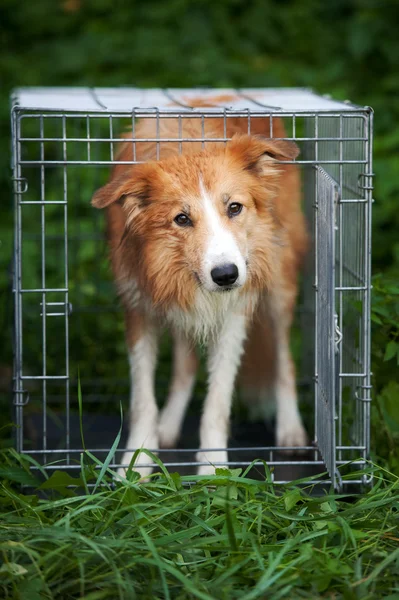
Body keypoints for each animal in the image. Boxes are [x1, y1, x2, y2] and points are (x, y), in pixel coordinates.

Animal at [91, 98, 310, 476]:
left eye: (234, 207)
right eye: (182, 219)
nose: (226, 275)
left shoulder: (235, 314)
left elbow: (217, 402)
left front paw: (213, 469)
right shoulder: (139, 308)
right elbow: (143, 401)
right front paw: (138, 463)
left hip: (279, 287)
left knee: (284, 361)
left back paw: (291, 429)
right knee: (185, 366)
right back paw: (167, 425)